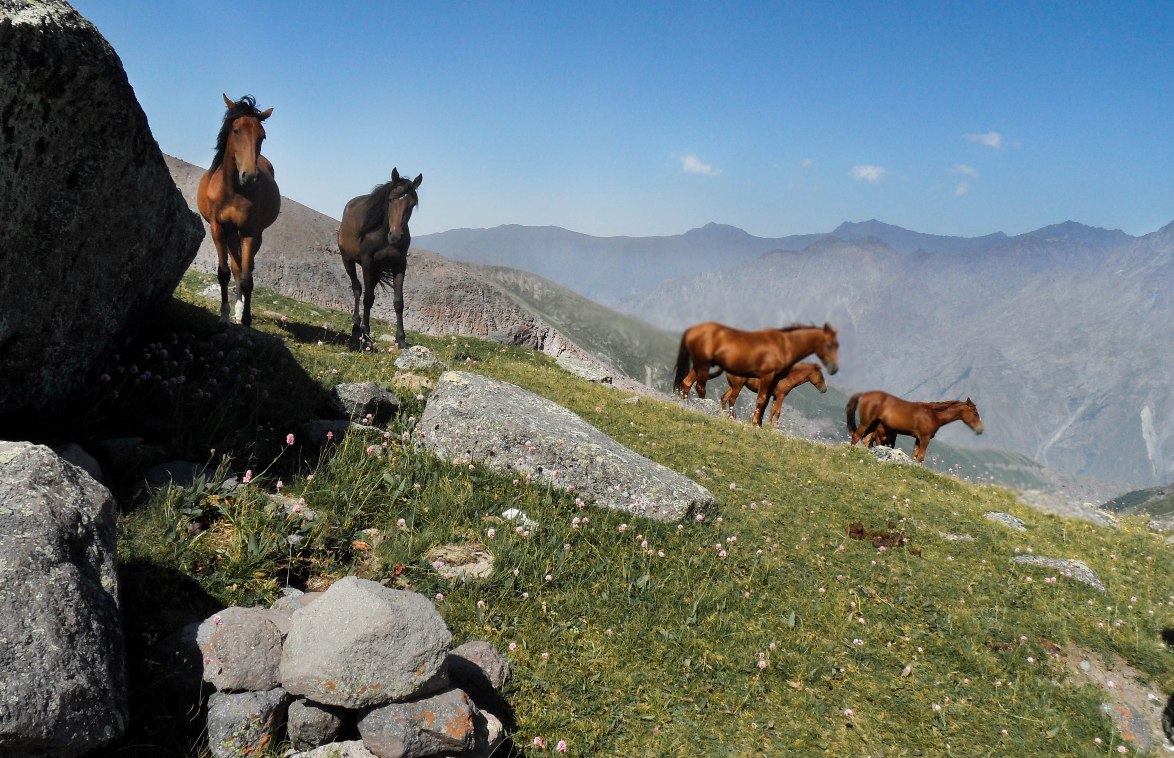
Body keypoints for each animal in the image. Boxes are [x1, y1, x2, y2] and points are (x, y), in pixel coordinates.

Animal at [198, 93, 280, 328]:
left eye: (262, 136)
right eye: (236, 130)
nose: (249, 176)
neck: (233, 190)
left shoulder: (250, 232)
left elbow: (247, 278)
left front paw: (246, 319)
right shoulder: (218, 228)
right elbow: (224, 273)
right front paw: (224, 315)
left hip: (250, 235)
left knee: (245, 268)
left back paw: (241, 310)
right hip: (230, 234)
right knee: (235, 268)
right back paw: (235, 309)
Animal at [338, 168, 424, 349]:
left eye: (412, 204)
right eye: (390, 199)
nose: (396, 237)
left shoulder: (400, 265)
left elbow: (398, 302)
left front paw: (401, 339)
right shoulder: (367, 262)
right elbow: (368, 299)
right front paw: (366, 334)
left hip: (377, 270)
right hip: (348, 260)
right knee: (357, 288)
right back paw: (357, 325)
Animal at [676, 321, 840, 427]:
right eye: (821, 376)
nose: (824, 389)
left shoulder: (774, 389)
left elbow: (768, 406)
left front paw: (762, 424)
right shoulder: (778, 391)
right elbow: (772, 408)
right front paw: (769, 426)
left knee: (692, 384)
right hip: (731, 380)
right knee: (721, 394)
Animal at [849, 391, 986, 462]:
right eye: (975, 413)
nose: (980, 429)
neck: (933, 414)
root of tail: (864, 394)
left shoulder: (918, 439)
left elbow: (914, 455)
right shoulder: (925, 438)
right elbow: (921, 457)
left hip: (873, 425)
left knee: (865, 440)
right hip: (867, 423)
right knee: (856, 436)